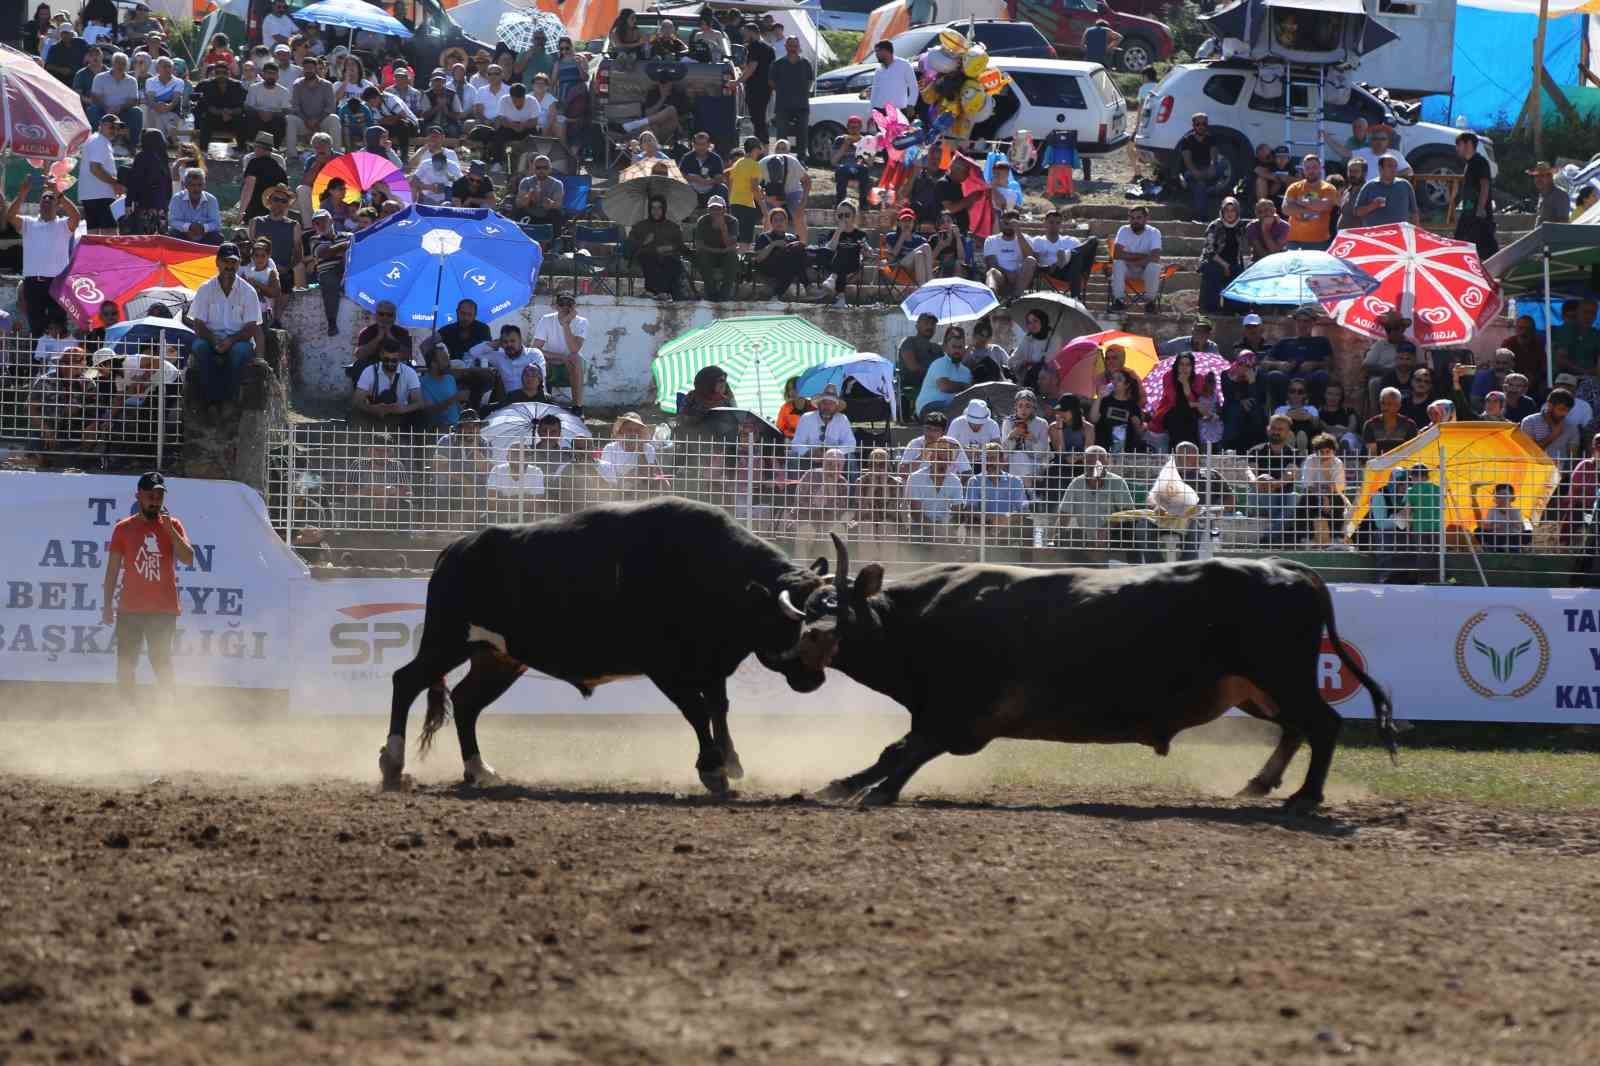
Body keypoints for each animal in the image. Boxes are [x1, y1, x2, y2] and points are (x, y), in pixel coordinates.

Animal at [384, 499, 825, 787]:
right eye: (794, 624)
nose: (815, 679)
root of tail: (456, 549)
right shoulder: (665, 668)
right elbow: (697, 711)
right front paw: (711, 767)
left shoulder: (711, 666)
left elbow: (718, 708)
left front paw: (731, 760)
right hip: (446, 640)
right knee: (406, 681)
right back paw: (392, 763)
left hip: (498, 657)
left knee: (465, 701)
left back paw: (479, 769)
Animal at [793, 534, 1395, 809]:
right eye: (813, 604)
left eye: (840, 610)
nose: (810, 643)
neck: (921, 618)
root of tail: (1282, 568)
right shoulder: (942, 715)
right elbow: (898, 749)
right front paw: (845, 783)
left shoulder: (961, 717)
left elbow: (908, 750)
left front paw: (868, 790)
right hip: (1255, 687)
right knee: (1296, 727)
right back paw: (1260, 782)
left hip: (1279, 674)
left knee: (1323, 725)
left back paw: (1305, 796)